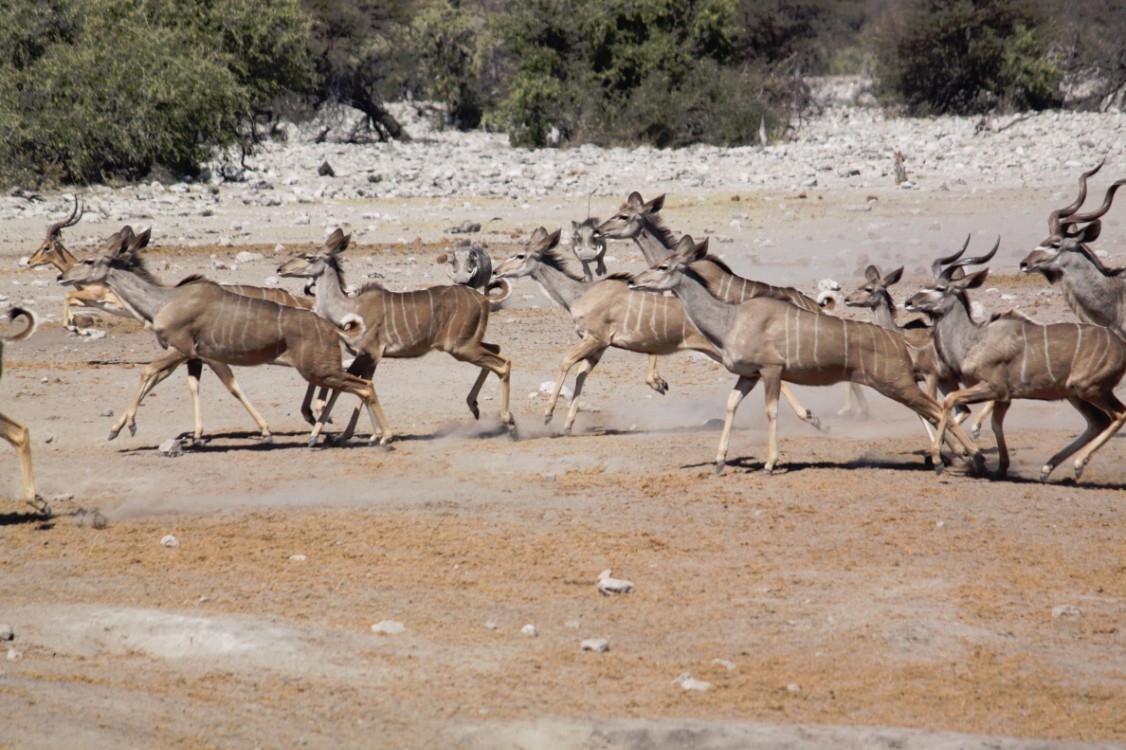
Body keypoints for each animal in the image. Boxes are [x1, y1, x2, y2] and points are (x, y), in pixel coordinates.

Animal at [630, 236, 981, 472]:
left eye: (662, 266)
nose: (633, 281)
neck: (730, 318)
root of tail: (898, 340)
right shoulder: (749, 374)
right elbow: (731, 404)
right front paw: (719, 461)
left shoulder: (771, 370)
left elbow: (772, 410)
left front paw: (771, 462)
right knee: (934, 409)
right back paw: (959, 457)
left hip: (897, 384)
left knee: (935, 408)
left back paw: (965, 456)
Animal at [905, 239, 1126, 481]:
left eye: (940, 288)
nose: (908, 302)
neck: (973, 339)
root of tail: (1121, 347)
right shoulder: (1004, 397)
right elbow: (995, 424)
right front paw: (1000, 466)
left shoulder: (994, 388)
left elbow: (949, 401)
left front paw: (938, 459)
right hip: (1074, 394)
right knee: (1098, 421)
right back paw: (1047, 468)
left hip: (1090, 388)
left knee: (1118, 414)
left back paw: (1077, 465)